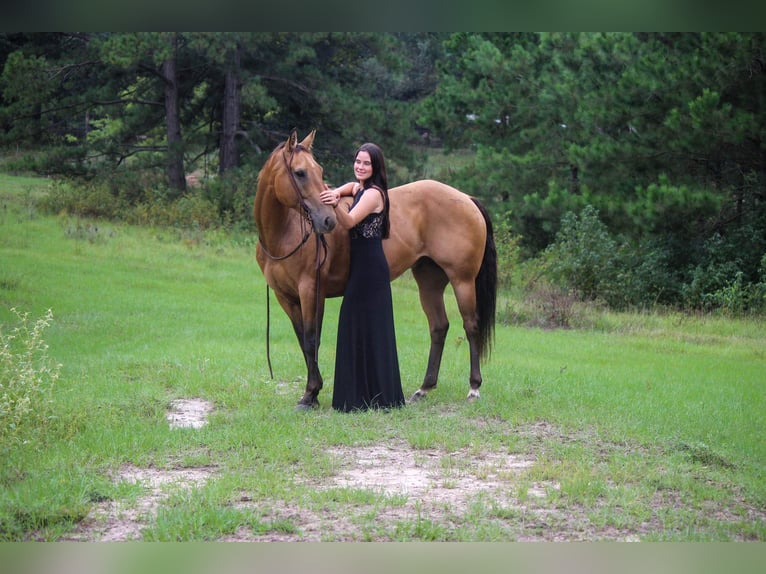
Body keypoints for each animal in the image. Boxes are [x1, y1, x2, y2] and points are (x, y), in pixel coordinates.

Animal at [255, 130, 500, 410]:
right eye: (300, 173)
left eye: (318, 170)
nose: (328, 220)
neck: (285, 233)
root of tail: (467, 198)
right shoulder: (285, 297)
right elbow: (302, 340)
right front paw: (312, 393)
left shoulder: (311, 291)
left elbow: (311, 339)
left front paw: (310, 394)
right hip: (429, 281)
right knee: (439, 327)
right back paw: (424, 388)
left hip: (462, 281)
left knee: (471, 326)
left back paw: (474, 388)